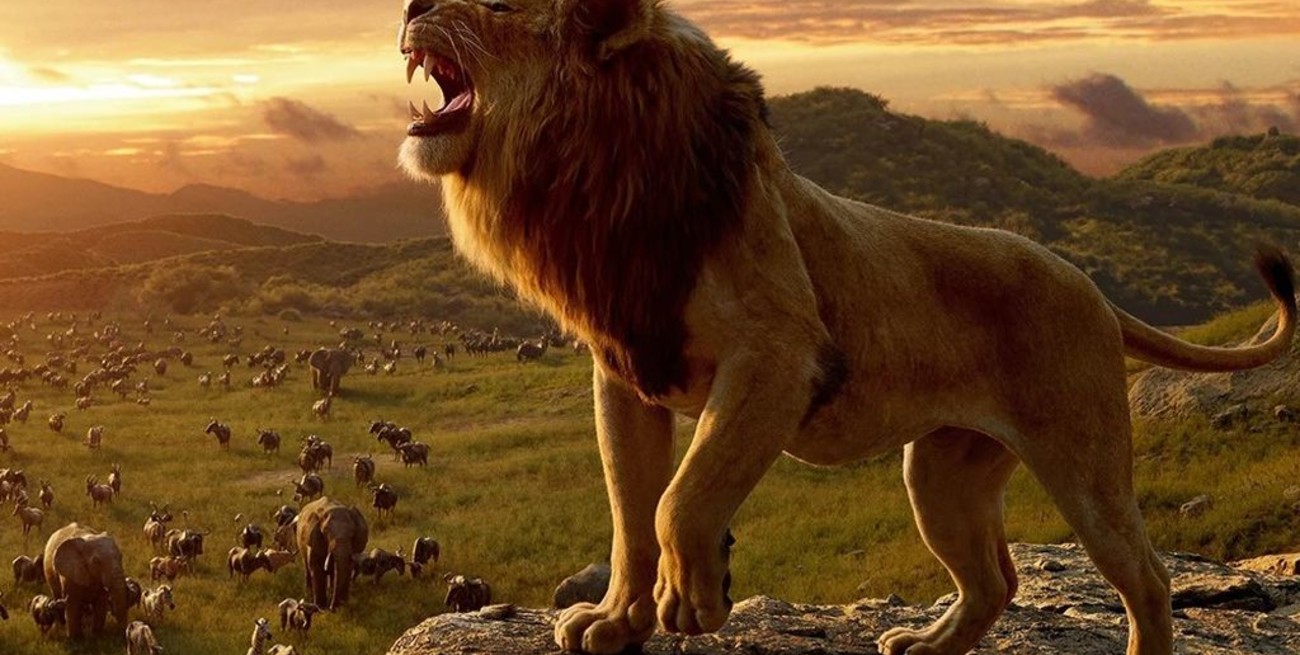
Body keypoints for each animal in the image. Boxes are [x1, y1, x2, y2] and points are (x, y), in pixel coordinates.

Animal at [395, 2, 1296, 654]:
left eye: (497, 2)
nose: (411, 5)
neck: (596, 174)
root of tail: (1094, 289)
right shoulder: (625, 372)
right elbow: (629, 512)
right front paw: (616, 622)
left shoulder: (779, 354)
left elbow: (679, 499)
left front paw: (696, 598)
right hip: (941, 474)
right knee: (995, 579)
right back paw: (925, 644)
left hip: (1084, 462)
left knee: (1145, 575)